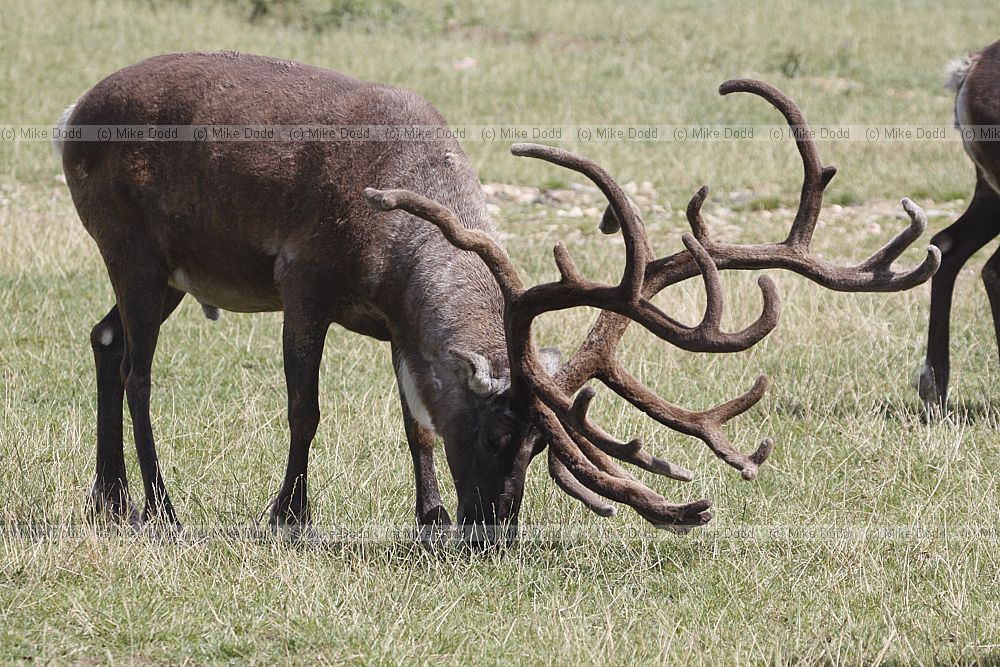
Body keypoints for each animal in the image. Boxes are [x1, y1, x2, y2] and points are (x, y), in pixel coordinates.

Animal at [55, 51, 939, 538]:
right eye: (494, 434)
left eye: (541, 445)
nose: (495, 531)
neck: (388, 240)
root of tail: (70, 116)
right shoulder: (300, 276)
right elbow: (305, 408)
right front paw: (290, 514)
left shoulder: (396, 323)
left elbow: (414, 421)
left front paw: (429, 514)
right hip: (131, 246)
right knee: (138, 368)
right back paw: (160, 504)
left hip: (162, 270)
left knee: (104, 338)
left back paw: (107, 496)